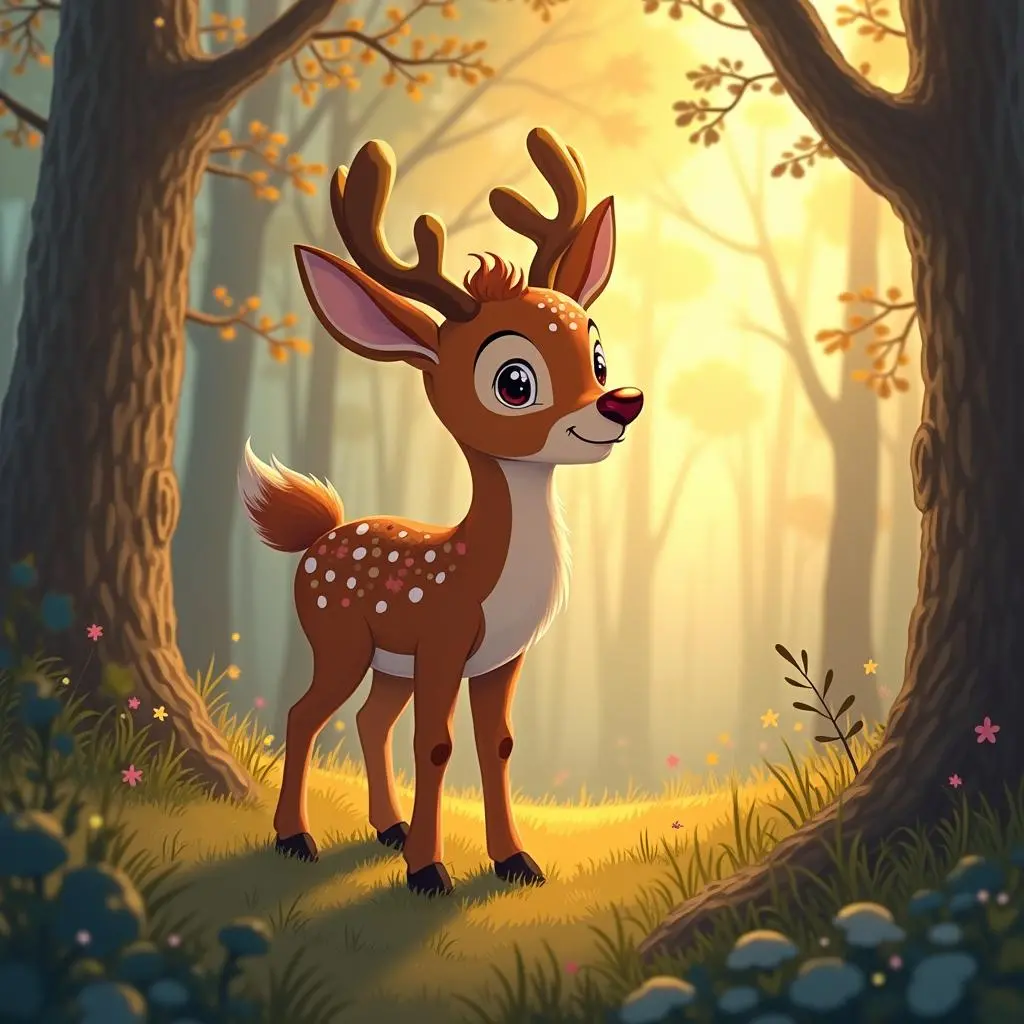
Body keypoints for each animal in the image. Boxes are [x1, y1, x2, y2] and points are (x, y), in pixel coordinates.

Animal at [238, 126, 643, 897]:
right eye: (514, 380)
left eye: (598, 354)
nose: (621, 403)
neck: (485, 568)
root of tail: (320, 534)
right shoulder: (444, 641)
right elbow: (435, 744)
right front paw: (431, 873)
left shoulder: (502, 657)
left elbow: (499, 743)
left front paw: (513, 860)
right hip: (340, 638)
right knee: (306, 715)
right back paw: (297, 838)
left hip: (388, 662)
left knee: (368, 720)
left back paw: (388, 829)